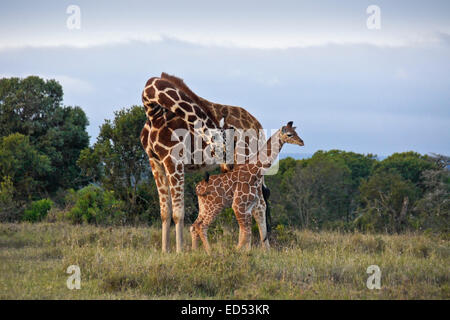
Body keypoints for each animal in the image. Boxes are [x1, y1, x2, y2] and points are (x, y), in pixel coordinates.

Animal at [141, 73, 268, 252]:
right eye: (225, 144)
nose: (228, 164)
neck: (153, 111)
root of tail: (259, 127)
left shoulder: (174, 160)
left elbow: (178, 213)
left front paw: (179, 251)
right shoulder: (155, 161)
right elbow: (165, 213)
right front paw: (165, 251)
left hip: (248, 162)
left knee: (259, 205)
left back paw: (260, 250)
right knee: (252, 205)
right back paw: (250, 247)